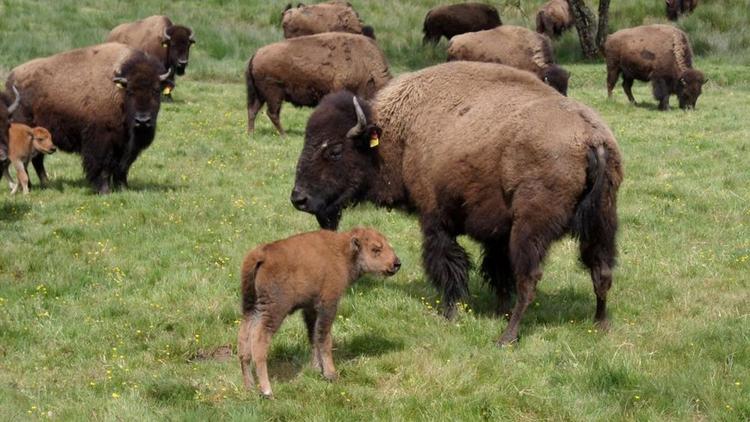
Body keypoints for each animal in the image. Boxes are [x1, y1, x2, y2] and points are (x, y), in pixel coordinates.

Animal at [6, 42, 172, 194]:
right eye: (130, 91)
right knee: (28, 161)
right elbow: (103, 166)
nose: (143, 120)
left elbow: (122, 168)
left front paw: (124, 188)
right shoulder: (102, 141)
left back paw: (46, 184)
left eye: (156, 90)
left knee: (37, 159)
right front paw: (104, 191)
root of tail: (11, 78)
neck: (118, 92)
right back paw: (30, 186)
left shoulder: (127, 146)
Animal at [242, 226, 406, 398]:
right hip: (274, 311)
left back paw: (249, 386)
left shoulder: (310, 309)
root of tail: (262, 254)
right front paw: (331, 374)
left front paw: (316, 369)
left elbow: (313, 337)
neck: (343, 252)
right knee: (259, 340)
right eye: (375, 249)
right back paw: (267, 391)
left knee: (244, 338)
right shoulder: (328, 305)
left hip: (250, 308)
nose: (396, 263)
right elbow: (324, 339)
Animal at [248, 33, 394, 136]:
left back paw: (251, 134)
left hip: (260, 95)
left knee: (253, 110)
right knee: (272, 113)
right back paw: (284, 135)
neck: (365, 65)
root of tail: (256, 54)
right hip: (274, 94)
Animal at [290, 62, 624, 346]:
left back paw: (507, 337)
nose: (299, 198)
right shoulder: (498, 233)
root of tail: (592, 139)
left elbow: (448, 265)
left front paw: (450, 313)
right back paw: (600, 324)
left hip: (531, 229)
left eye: (334, 150)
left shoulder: (436, 220)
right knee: (601, 271)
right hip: (603, 221)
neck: (399, 132)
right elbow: (496, 270)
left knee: (530, 279)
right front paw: (496, 309)